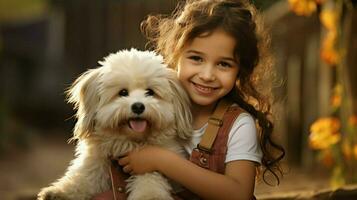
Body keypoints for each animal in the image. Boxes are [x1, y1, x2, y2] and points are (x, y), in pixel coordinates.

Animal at [37, 48, 192, 200]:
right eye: (123, 92)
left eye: (150, 92)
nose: (138, 106)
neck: (128, 143)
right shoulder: (96, 162)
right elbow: (84, 179)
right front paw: (59, 191)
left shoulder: (153, 161)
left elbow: (150, 177)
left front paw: (149, 196)